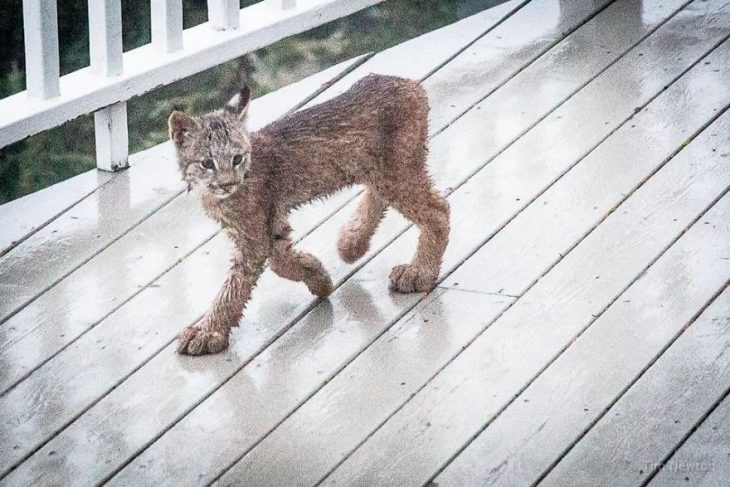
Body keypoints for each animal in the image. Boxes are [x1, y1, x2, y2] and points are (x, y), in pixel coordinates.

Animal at [169, 74, 450, 356]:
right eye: (207, 163)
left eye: (237, 159)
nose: (227, 184)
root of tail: (406, 82)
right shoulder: (270, 222)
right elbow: (279, 261)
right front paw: (316, 274)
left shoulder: (254, 236)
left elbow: (235, 286)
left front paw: (208, 331)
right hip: (380, 169)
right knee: (381, 195)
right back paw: (352, 242)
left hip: (394, 171)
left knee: (438, 211)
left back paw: (419, 272)